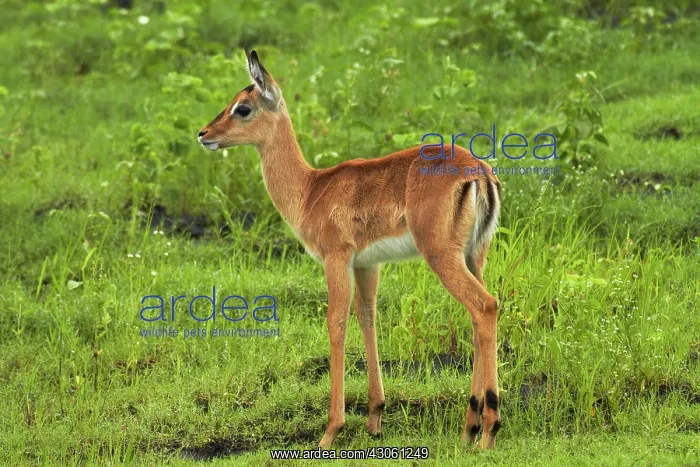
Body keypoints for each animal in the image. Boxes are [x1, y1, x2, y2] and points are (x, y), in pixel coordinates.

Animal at [197, 46, 503, 449]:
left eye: (243, 107)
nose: (204, 134)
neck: (311, 190)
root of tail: (478, 170)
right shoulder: (366, 264)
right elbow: (367, 317)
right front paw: (375, 418)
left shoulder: (336, 258)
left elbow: (336, 323)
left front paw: (331, 430)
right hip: (473, 255)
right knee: (478, 315)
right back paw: (470, 425)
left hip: (441, 256)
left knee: (485, 306)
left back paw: (488, 429)